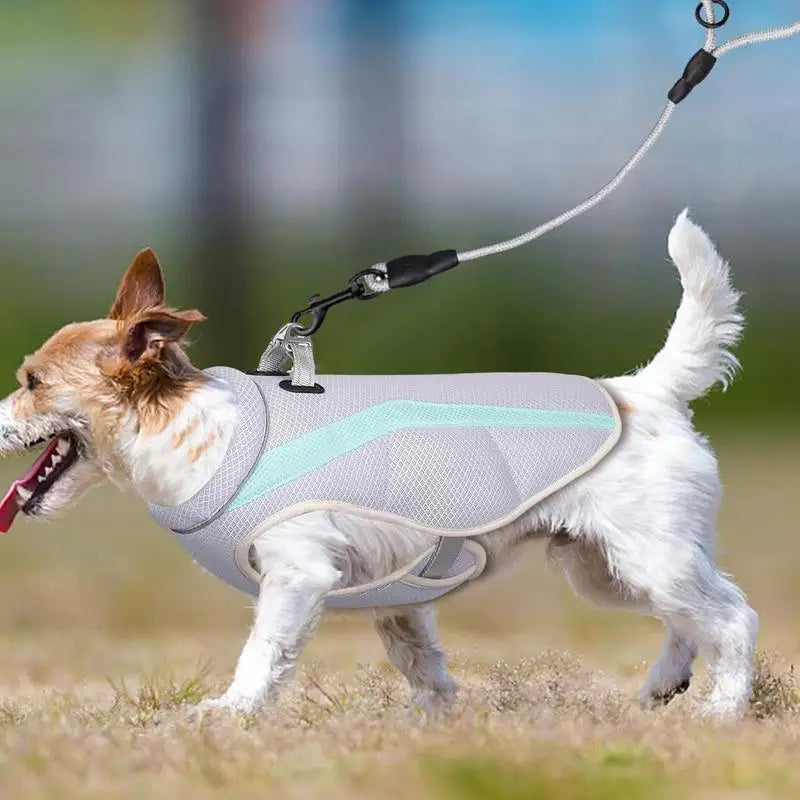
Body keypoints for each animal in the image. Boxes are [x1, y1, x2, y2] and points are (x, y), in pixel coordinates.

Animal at [0, 211, 756, 720]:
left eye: (32, 382)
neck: (201, 433)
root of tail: (644, 389)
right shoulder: (397, 599)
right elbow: (421, 662)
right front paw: (439, 721)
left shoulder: (298, 573)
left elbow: (262, 651)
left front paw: (232, 711)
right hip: (603, 569)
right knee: (688, 619)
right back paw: (664, 683)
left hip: (645, 556)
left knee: (731, 618)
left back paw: (725, 708)